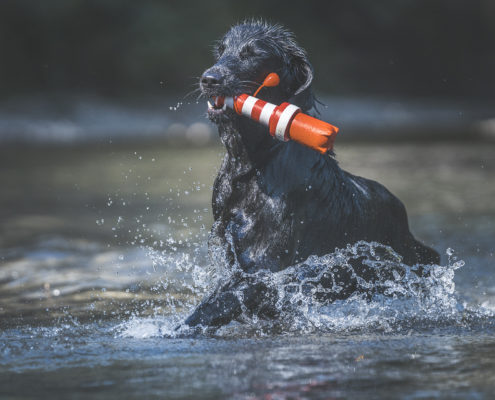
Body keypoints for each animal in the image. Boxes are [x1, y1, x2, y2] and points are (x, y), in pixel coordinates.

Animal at [184, 20, 440, 328]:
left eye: (252, 54)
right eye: (221, 51)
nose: (208, 79)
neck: (253, 164)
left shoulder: (262, 270)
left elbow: (209, 309)